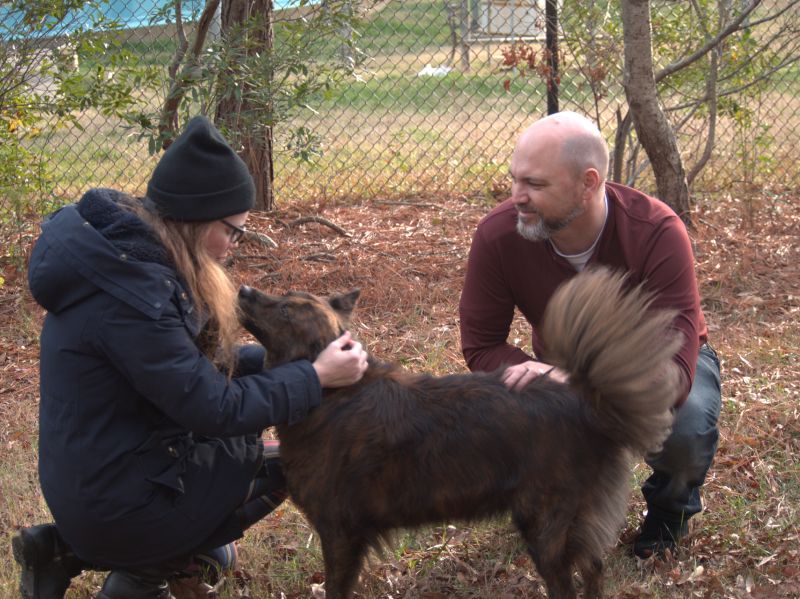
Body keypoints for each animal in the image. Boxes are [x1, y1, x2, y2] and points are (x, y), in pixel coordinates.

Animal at [238, 268, 681, 599]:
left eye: (286, 310)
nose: (242, 289)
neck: (331, 391)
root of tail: (590, 405)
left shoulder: (340, 534)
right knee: (594, 570)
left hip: (546, 529)